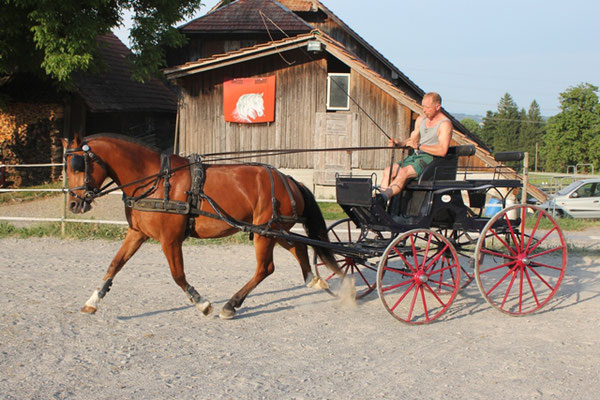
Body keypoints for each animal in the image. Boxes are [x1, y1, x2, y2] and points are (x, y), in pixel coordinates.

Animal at [63, 133, 342, 320]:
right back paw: (314, 280)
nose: (74, 204)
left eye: (77, 165)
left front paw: (202, 303)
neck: (155, 180)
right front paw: (93, 301)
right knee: (298, 248)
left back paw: (231, 305)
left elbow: (178, 275)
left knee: (265, 268)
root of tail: (289, 180)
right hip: (273, 230)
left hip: (265, 232)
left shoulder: (170, 240)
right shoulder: (137, 233)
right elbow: (114, 265)